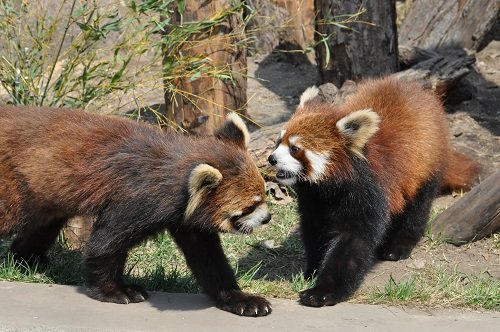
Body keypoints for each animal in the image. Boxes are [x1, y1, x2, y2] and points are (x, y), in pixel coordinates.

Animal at [0, 106, 272, 316]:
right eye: (250, 206)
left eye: (264, 196)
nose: (268, 218)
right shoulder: (135, 197)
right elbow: (104, 245)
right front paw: (117, 291)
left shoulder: (186, 216)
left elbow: (208, 258)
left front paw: (240, 299)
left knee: (43, 226)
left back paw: (29, 260)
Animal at [268, 76, 478, 308]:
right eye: (278, 142)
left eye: (295, 149)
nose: (271, 159)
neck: (328, 188)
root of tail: (417, 89)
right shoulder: (314, 201)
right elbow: (314, 231)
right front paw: (313, 269)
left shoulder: (366, 193)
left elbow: (352, 243)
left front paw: (324, 291)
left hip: (426, 167)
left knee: (417, 209)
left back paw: (399, 245)